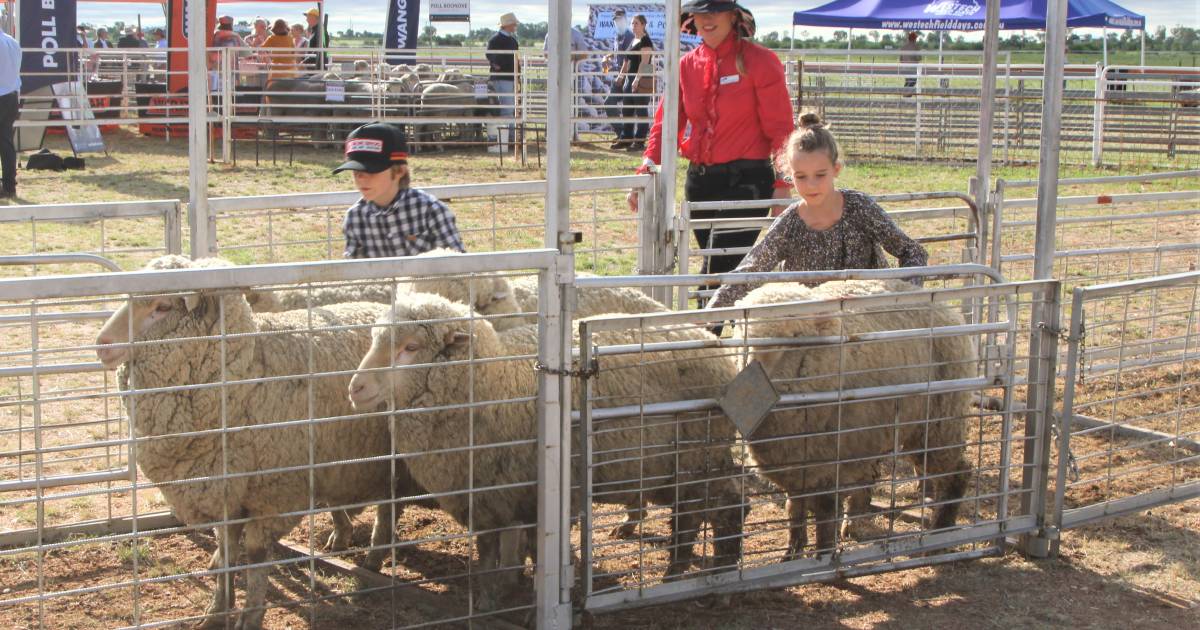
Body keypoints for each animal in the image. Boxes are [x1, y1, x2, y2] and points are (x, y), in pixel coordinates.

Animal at [97, 255, 427, 628]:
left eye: (163, 307)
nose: (102, 344)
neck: (245, 374)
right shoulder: (224, 494)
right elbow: (227, 553)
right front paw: (216, 612)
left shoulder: (273, 494)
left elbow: (255, 558)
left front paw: (250, 615)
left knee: (389, 506)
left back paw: (374, 556)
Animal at [345, 292, 739, 607]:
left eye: (410, 348)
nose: (355, 388)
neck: (495, 386)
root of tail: (714, 344)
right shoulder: (486, 498)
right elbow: (488, 553)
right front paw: (489, 599)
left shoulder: (537, 496)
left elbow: (536, 550)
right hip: (682, 463)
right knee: (713, 505)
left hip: (696, 457)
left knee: (709, 512)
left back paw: (696, 573)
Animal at [729, 278, 974, 554]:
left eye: (791, 338)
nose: (751, 376)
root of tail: (950, 310)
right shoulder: (799, 465)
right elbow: (795, 510)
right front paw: (793, 551)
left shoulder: (828, 463)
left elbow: (825, 516)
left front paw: (823, 554)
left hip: (939, 423)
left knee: (958, 473)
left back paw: (941, 530)